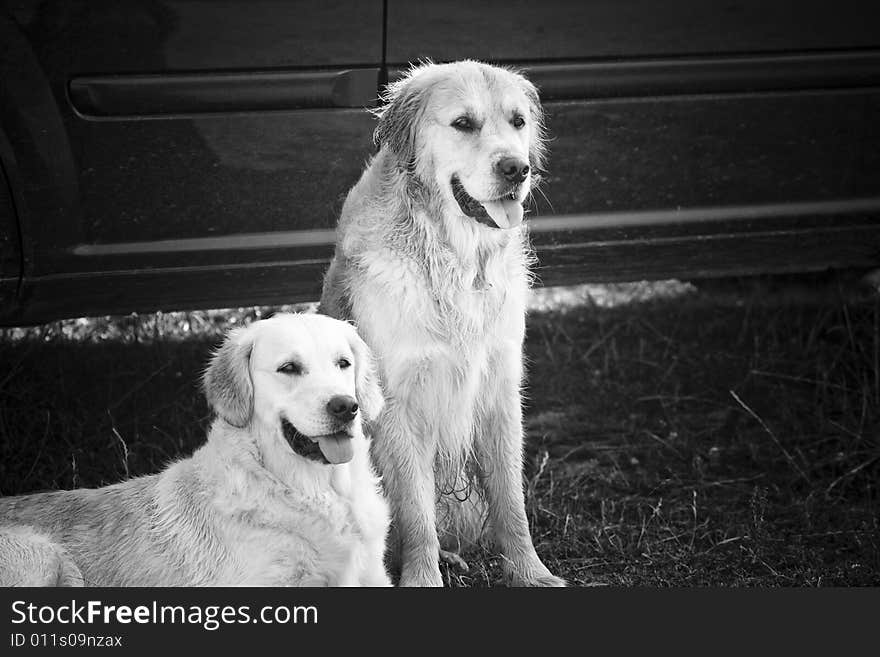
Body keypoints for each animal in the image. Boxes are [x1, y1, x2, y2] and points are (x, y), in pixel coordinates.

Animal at [322, 60, 564, 584]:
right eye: (463, 123)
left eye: (518, 122)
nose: (517, 168)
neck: (457, 259)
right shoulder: (397, 401)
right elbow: (415, 510)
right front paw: (423, 577)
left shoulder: (500, 386)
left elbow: (511, 499)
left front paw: (530, 571)